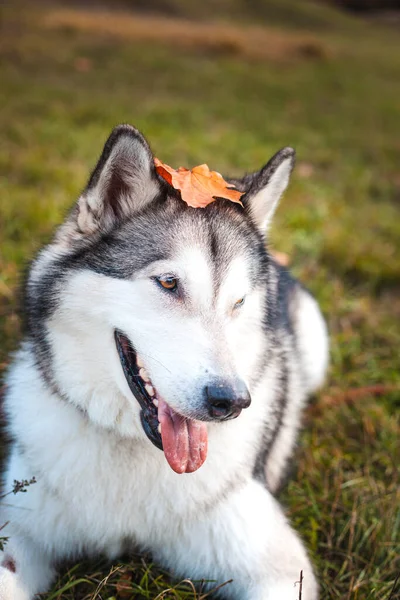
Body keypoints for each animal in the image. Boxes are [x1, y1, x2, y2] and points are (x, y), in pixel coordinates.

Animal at [0, 124, 328, 596]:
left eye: (239, 302)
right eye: (169, 283)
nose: (230, 401)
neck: (133, 449)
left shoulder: (280, 568)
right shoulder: (20, 528)